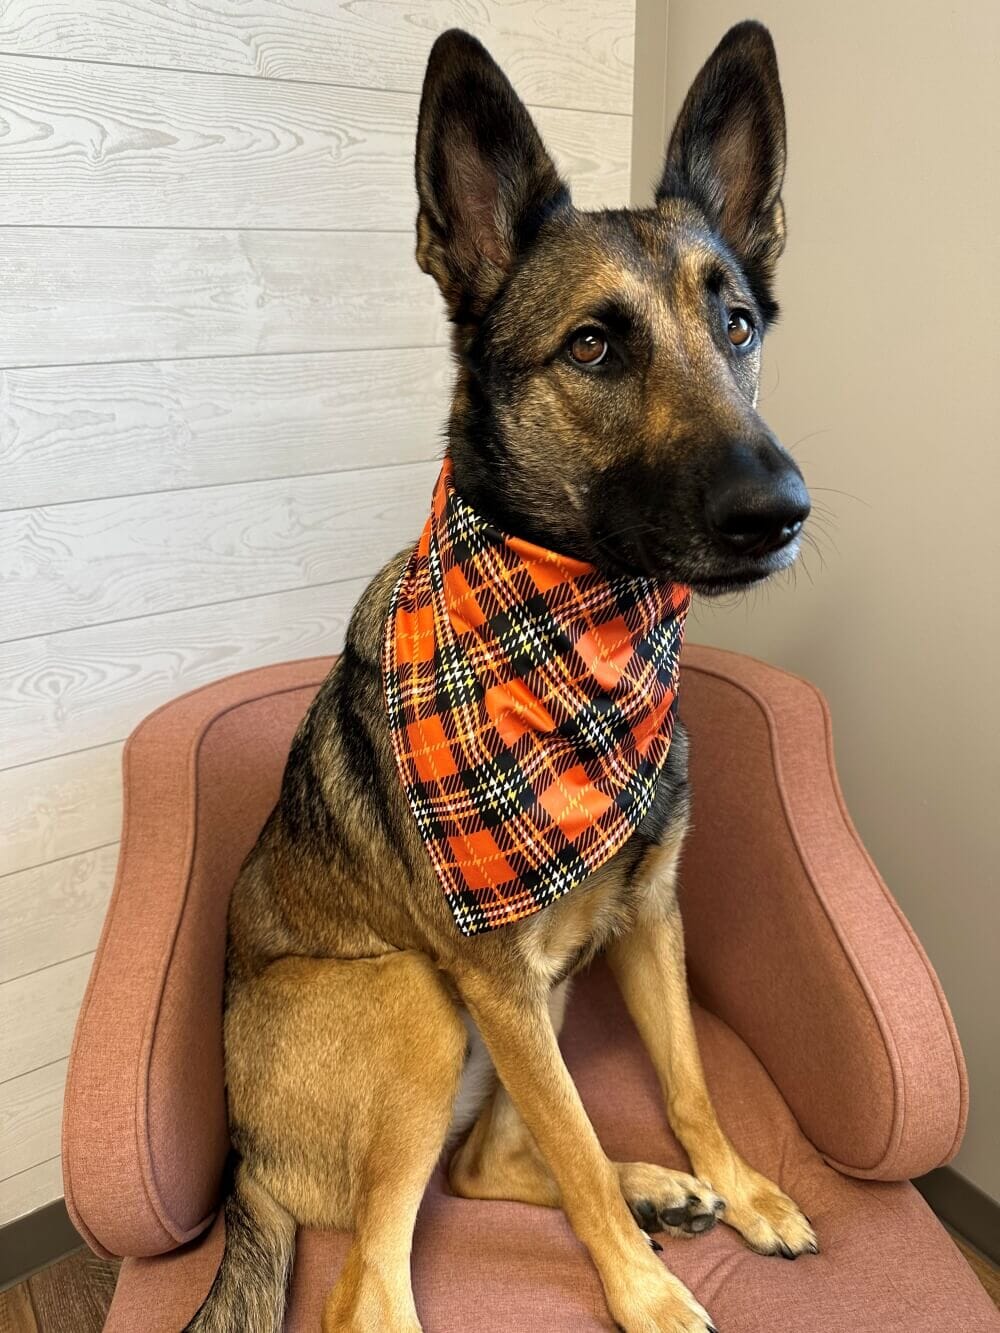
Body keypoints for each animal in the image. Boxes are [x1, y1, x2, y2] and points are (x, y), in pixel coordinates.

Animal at [184, 20, 816, 1333]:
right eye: (593, 345)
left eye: (736, 325)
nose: (778, 513)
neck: (585, 632)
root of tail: (244, 1169)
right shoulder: (496, 977)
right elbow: (571, 1144)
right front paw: (642, 1295)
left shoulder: (647, 917)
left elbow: (685, 1084)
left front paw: (735, 1186)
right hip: (423, 1002)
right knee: (372, 1283)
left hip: (535, 1001)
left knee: (478, 1164)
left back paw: (664, 1188)